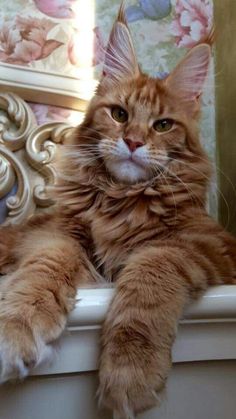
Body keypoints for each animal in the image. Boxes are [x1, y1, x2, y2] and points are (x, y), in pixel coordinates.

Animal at [0, 4, 236, 419]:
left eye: (162, 125)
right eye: (120, 115)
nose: (133, 141)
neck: (120, 199)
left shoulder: (206, 244)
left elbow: (149, 273)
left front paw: (130, 370)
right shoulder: (54, 234)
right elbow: (46, 267)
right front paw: (18, 326)